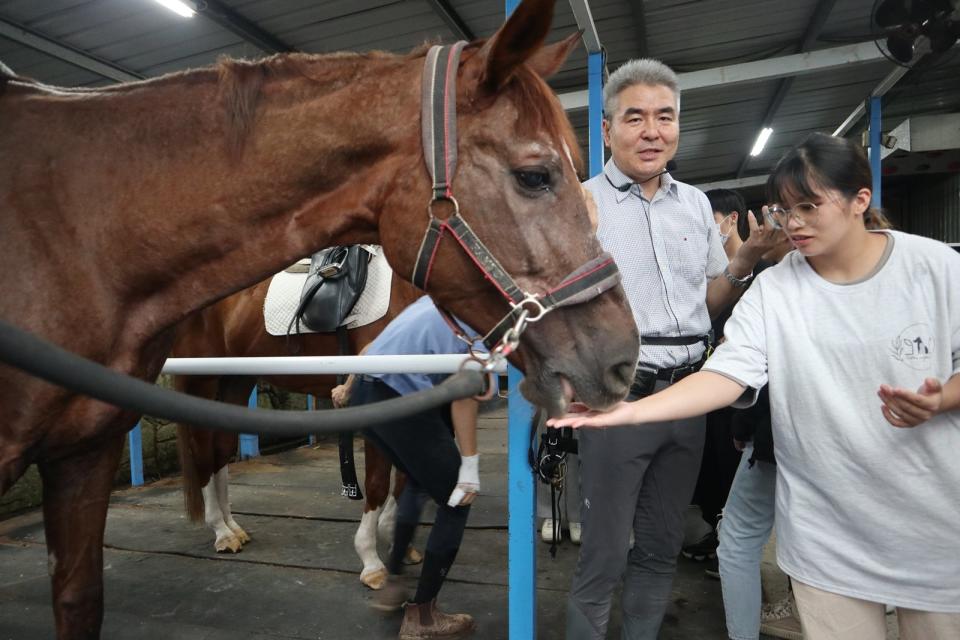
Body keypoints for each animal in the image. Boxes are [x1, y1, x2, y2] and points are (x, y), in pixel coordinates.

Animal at [172, 268, 424, 592]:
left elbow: (406, 476)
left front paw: (398, 542)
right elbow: (379, 482)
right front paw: (371, 562)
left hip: (236, 380)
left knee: (221, 450)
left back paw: (233, 528)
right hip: (202, 381)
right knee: (203, 455)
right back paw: (222, 533)